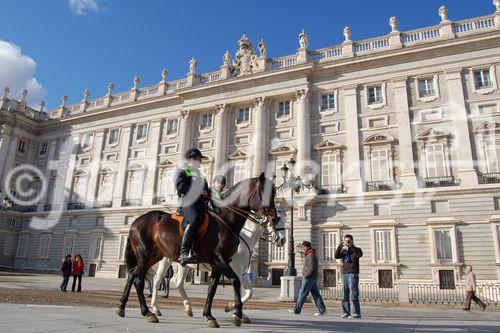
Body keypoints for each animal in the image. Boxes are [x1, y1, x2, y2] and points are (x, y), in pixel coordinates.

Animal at [116, 174, 278, 326]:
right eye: (265, 193)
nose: (274, 219)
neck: (225, 220)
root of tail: (135, 222)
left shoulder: (219, 264)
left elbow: (212, 289)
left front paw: (210, 315)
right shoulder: (222, 261)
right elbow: (235, 281)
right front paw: (236, 312)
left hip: (153, 256)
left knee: (132, 275)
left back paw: (122, 307)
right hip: (145, 256)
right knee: (141, 281)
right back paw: (149, 312)